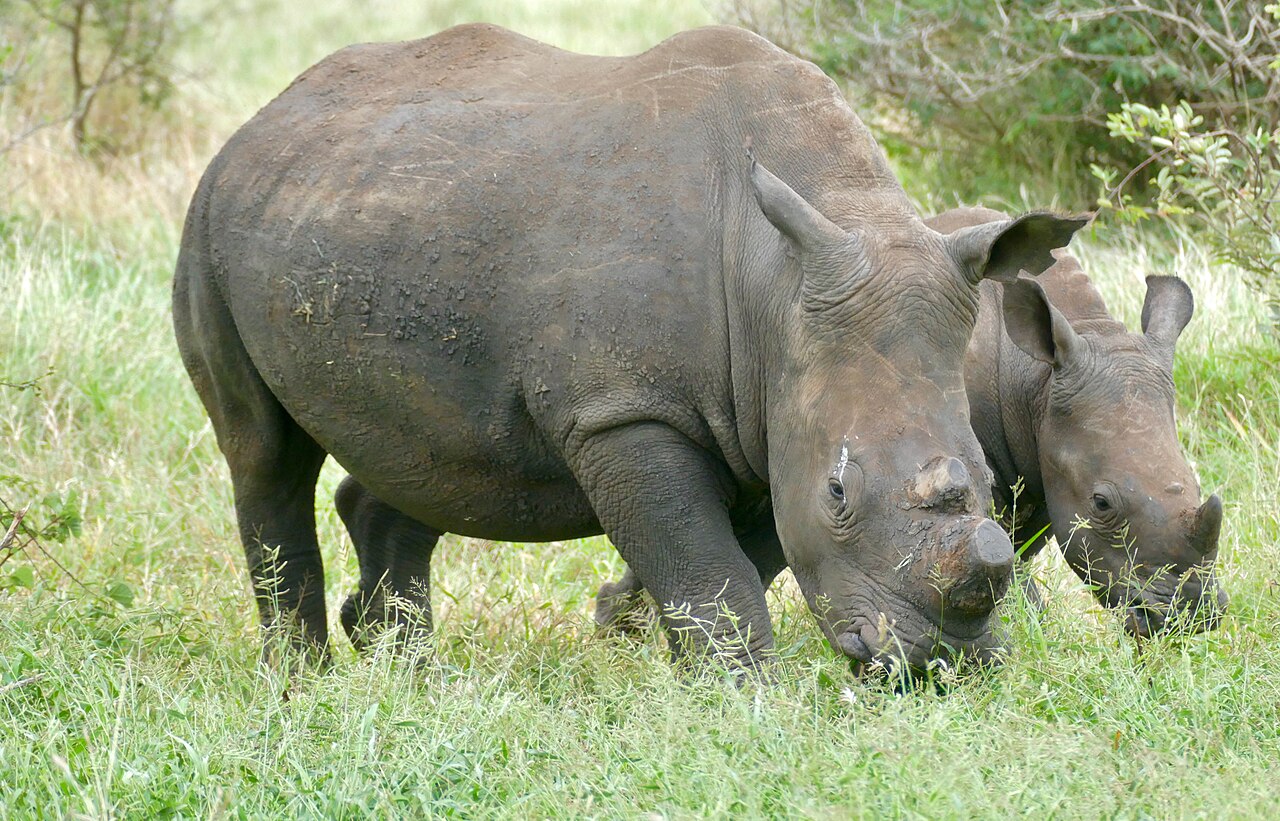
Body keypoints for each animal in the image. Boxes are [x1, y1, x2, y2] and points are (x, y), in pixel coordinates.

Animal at [172, 24, 1084, 675]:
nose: (940, 661)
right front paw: (742, 693)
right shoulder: (624, 412)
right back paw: (303, 679)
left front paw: (633, 630)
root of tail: (262, 119)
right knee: (262, 451)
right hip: (211, 223)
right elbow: (709, 564)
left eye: (988, 475)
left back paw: (407, 667)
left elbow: (742, 556)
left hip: (354, 210)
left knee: (425, 450)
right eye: (839, 492)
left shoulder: (766, 412)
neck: (776, 282)